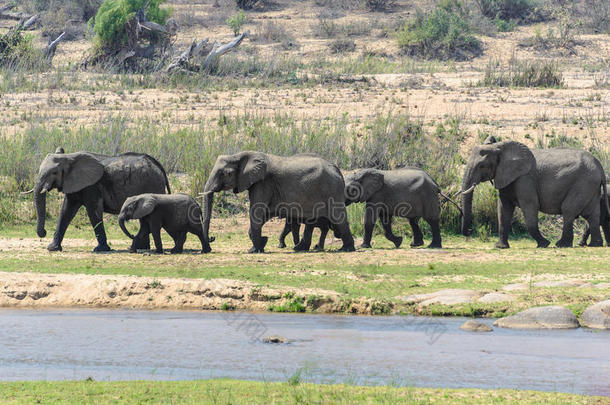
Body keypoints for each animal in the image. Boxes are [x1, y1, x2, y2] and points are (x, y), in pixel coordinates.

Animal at [27, 147, 170, 251]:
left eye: (54, 173)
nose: (44, 232)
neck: (69, 157)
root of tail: (158, 165)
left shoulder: (92, 186)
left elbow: (93, 212)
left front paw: (100, 249)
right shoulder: (74, 184)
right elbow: (66, 212)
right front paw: (52, 248)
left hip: (153, 184)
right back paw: (141, 248)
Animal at [200, 152, 354, 252]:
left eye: (227, 173)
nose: (212, 238)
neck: (239, 155)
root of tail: (338, 170)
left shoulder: (263, 183)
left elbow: (256, 212)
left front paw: (254, 250)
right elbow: (263, 214)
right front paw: (262, 243)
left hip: (332, 190)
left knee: (339, 218)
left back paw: (346, 249)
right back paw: (301, 248)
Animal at [458, 140, 604, 248]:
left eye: (481, 166)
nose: (469, 231)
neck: (499, 147)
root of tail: (600, 165)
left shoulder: (525, 180)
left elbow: (530, 207)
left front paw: (544, 244)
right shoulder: (506, 178)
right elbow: (503, 210)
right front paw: (500, 247)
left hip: (583, 183)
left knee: (568, 210)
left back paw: (561, 245)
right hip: (590, 186)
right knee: (592, 215)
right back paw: (595, 245)